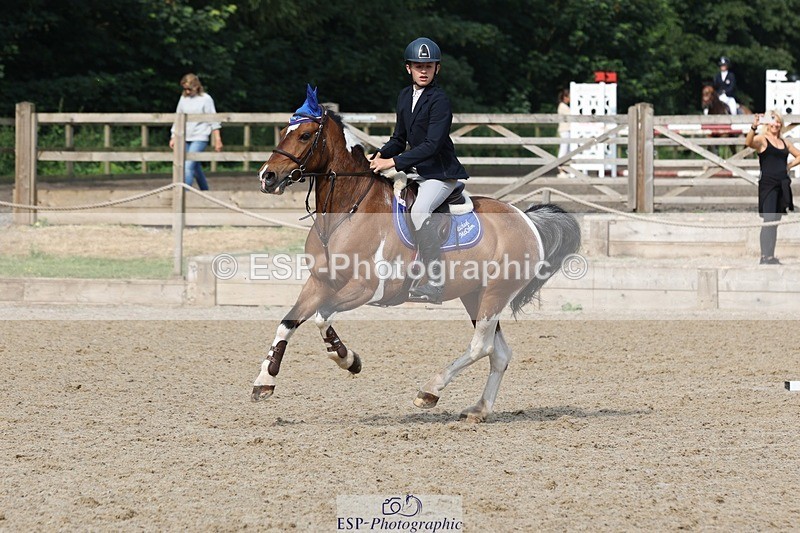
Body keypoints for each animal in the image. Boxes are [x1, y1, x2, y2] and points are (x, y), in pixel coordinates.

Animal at [252, 97, 580, 422]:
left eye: (305, 135)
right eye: (283, 131)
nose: (267, 177)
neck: (347, 210)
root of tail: (526, 218)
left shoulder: (367, 288)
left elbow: (323, 316)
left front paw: (347, 359)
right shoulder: (320, 282)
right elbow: (288, 322)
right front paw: (264, 382)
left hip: (495, 294)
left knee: (481, 346)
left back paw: (430, 391)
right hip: (475, 295)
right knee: (499, 353)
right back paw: (478, 409)